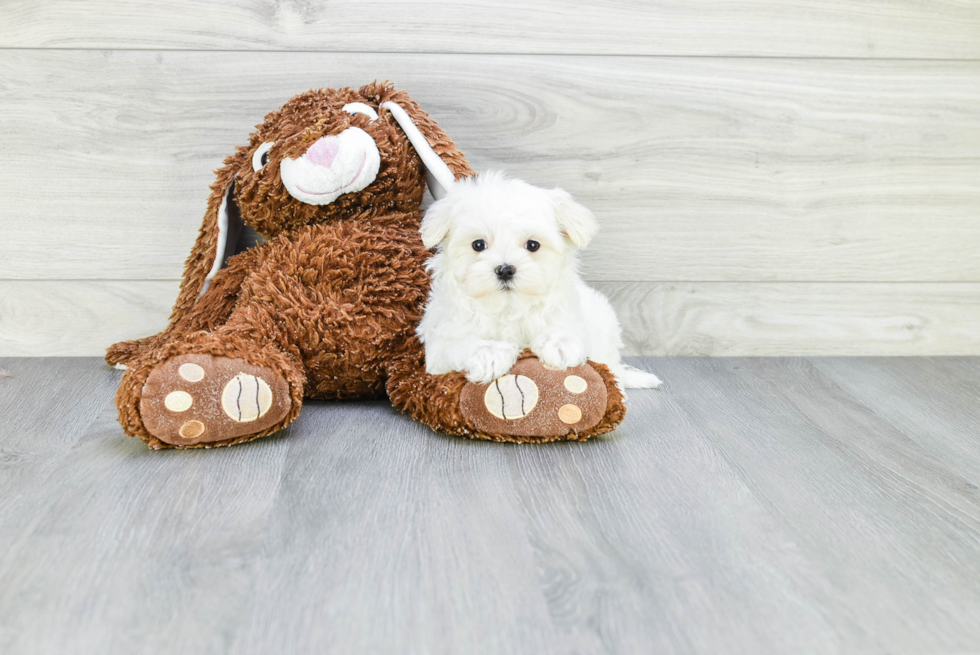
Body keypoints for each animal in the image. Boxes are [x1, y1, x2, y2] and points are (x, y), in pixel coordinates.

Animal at [418, 172, 664, 392]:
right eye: (478, 244)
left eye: (533, 245)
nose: (505, 269)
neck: (509, 308)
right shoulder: (440, 342)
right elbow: (457, 343)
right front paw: (489, 353)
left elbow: (566, 327)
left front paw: (559, 343)